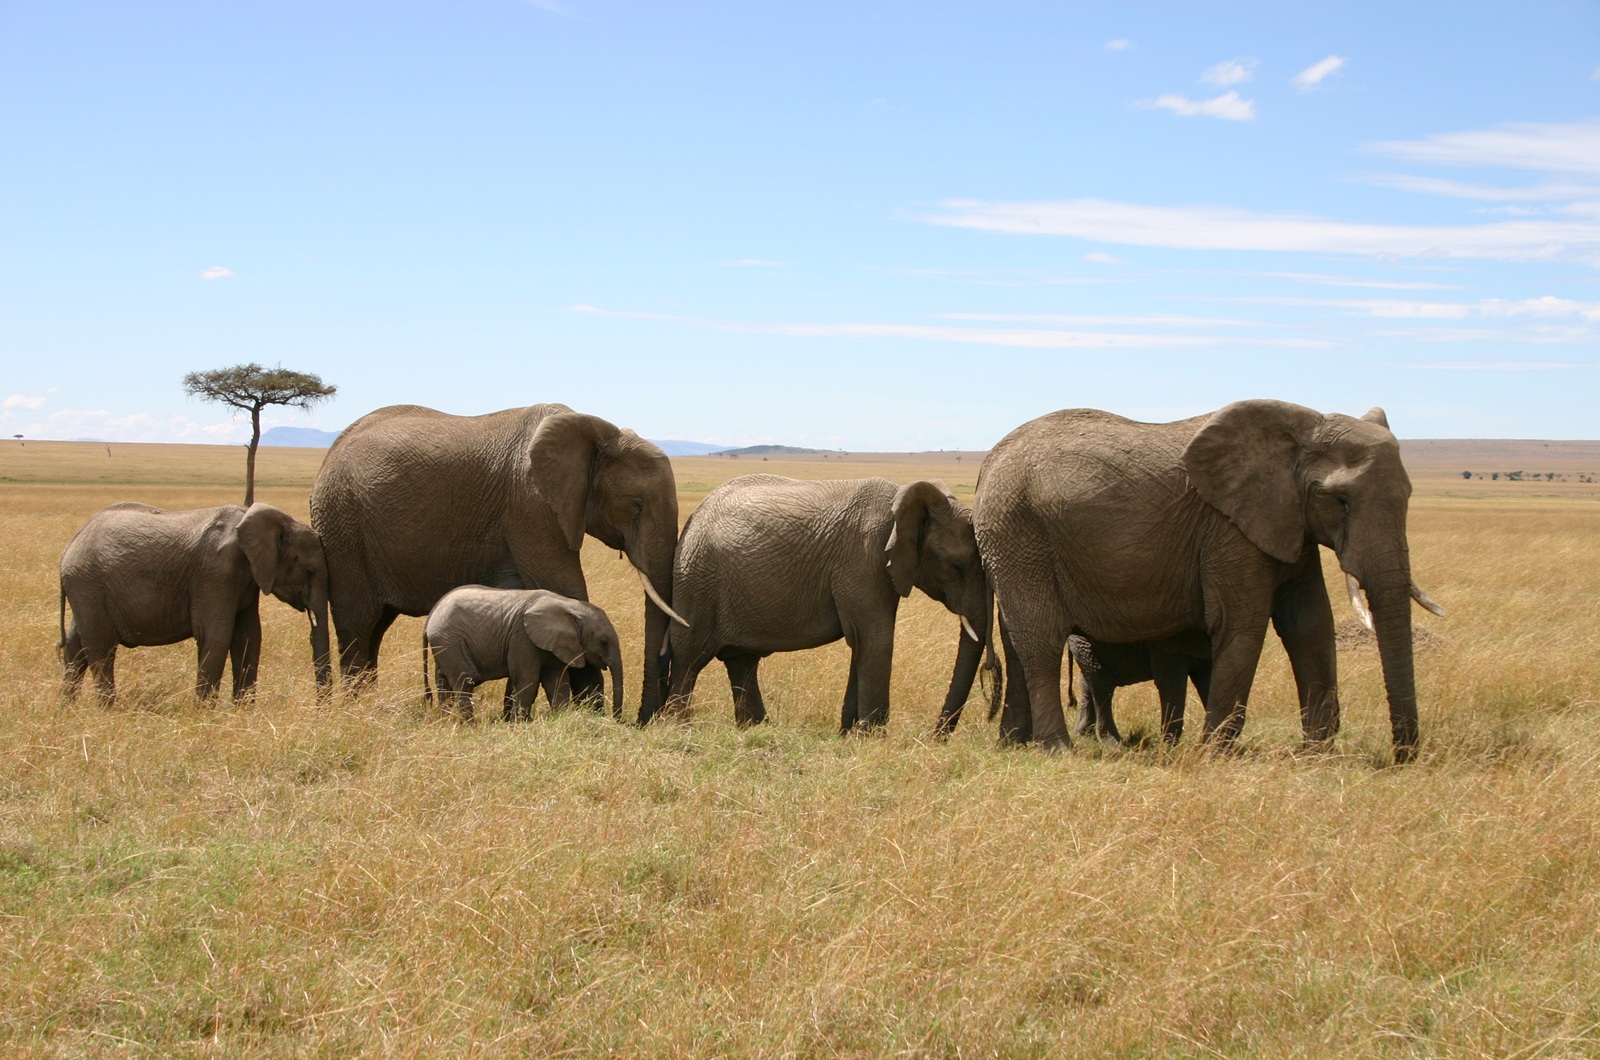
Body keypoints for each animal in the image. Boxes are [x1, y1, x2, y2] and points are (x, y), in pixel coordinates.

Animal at [58, 501, 331, 701]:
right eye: (309, 571)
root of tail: (69, 546)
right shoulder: (216, 574)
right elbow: (217, 636)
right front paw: (205, 715)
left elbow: (249, 637)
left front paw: (242, 714)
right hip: (88, 584)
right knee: (101, 647)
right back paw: (107, 708)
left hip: (86, 588)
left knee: (76, 646)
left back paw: (67, 709)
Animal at [422, 586, 624, 722]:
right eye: (604, 643)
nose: (616, 719)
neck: (569, 606)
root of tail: (431, 616)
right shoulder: (523, 638)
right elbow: (527, 680)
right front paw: (520, 725)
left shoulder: (556, 645)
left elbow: (557, 681)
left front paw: (561, 719)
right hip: (450, 640)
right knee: (465, 680)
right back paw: (470, 726)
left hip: (444, 644)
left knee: (443, 681)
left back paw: (447, 722)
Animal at [653, 475, 992, 733]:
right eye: (957, 567)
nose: (936, 736)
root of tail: (693, 517)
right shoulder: (862, 559)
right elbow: (875, 640)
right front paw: (872, 739)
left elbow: (863, 643)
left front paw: (848, 734)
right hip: (697, 579)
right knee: (690, 657)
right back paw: (678, 727)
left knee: (742, 660)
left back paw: (755, 728)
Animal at [974, 400, 1444, 761]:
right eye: (1340, 501)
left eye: (1408, 495)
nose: (1403, 756)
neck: (1301, 429)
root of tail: (987, 462)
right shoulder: (1229, 531)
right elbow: (1242, 627)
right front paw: (1216, 755)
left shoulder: (1287, 522)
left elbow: (1310, 625)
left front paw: (1317, 757)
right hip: (1019, 531)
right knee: (1040, 638)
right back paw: (1057, 750)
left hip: (1009, 540)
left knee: (1015, 639)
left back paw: (1014, 744)